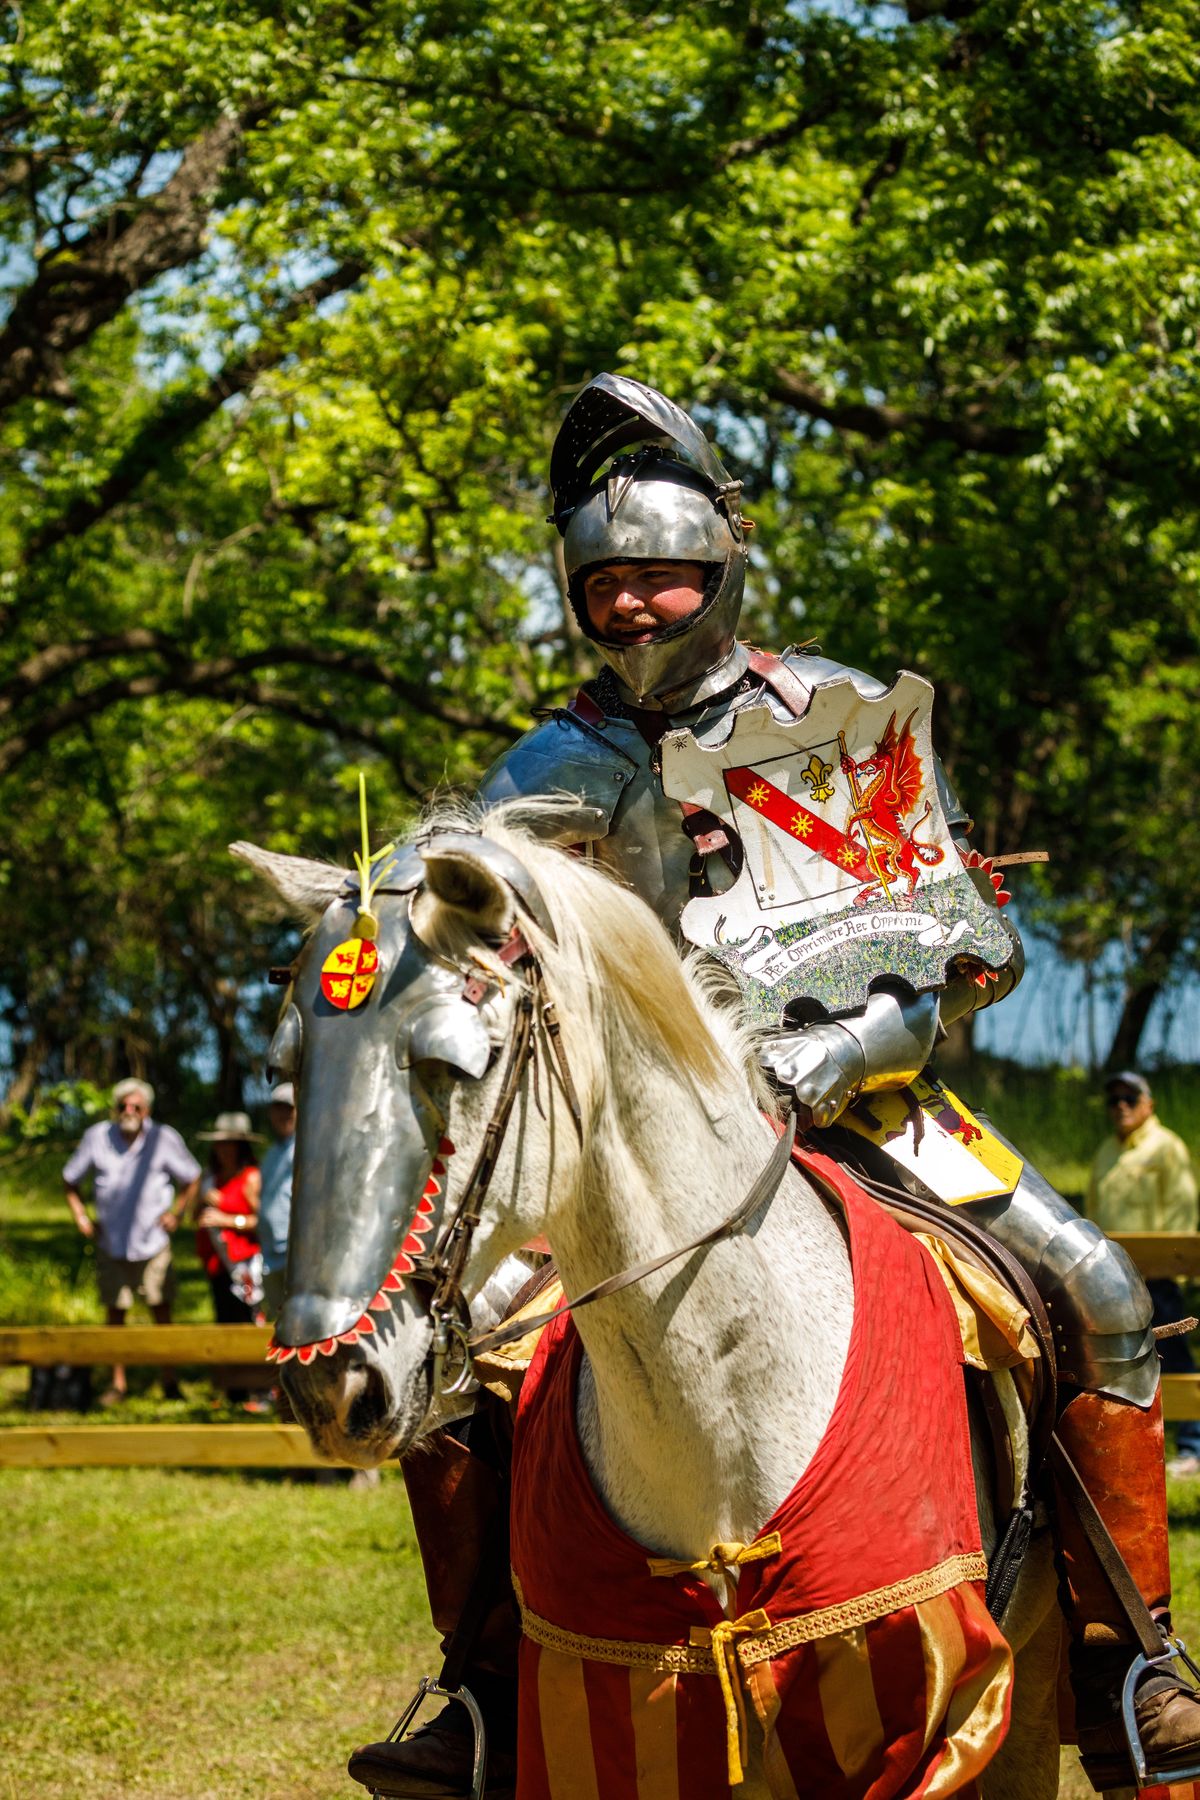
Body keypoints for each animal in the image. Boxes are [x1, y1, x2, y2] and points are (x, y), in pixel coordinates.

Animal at [233, 810, 1057, 1792]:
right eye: (290, 1070)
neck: (725, 1399)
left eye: (450, 1065)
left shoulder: (932, 1701)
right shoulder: (607, 1719)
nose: (330, 1386)